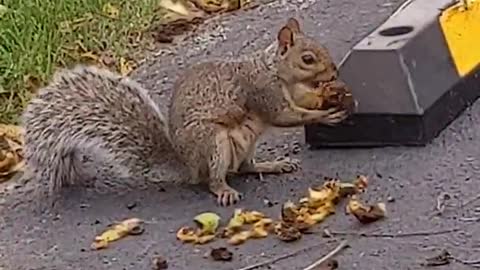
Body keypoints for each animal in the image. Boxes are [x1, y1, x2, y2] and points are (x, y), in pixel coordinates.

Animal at [19, 17, 352, 210]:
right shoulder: (262, 92)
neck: (275, 71)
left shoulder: (293, 92)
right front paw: (327, 115)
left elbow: (306, 101)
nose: (334, 71)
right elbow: (287, 116)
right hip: (212, 141)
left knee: (245, 167)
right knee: (214, 178)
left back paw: (272, 165)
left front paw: (331, 94)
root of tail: (188, 165)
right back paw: (223, 190)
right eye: (307, 59)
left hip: (244, 143)